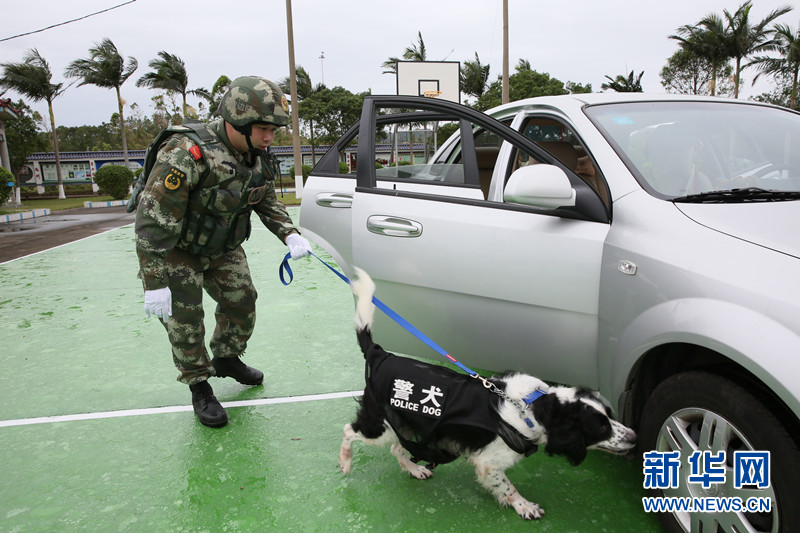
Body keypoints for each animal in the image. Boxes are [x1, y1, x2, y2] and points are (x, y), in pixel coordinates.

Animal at [337, 268, 637, 520]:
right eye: (600, 427)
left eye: (609, 415)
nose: (635, 437)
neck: (531, 407)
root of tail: (379, 354)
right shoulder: (488, 462)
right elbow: (507, 487)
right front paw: (525, 507)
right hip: (379, 424)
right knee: (350, 430)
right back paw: (345, 461)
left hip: (408, 426)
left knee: (398, 448)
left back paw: (416, 469)